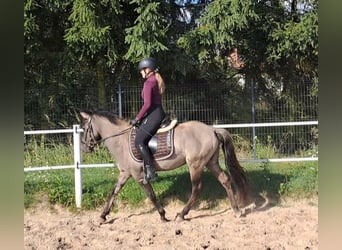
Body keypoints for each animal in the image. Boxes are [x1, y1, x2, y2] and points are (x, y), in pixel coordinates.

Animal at [80, 110, 248, 223]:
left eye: (85, 129)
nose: (84, 148)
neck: (120, 140)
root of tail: (212, 129)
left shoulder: (138, 175)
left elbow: (151, 195)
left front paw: (162, 215)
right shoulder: (125, 173)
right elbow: (114, 191)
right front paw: (102, 216)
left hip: (196, 164)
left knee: (197, 187)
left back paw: (181, 214)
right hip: (211, 162)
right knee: (225, 180)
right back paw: (237, 210)